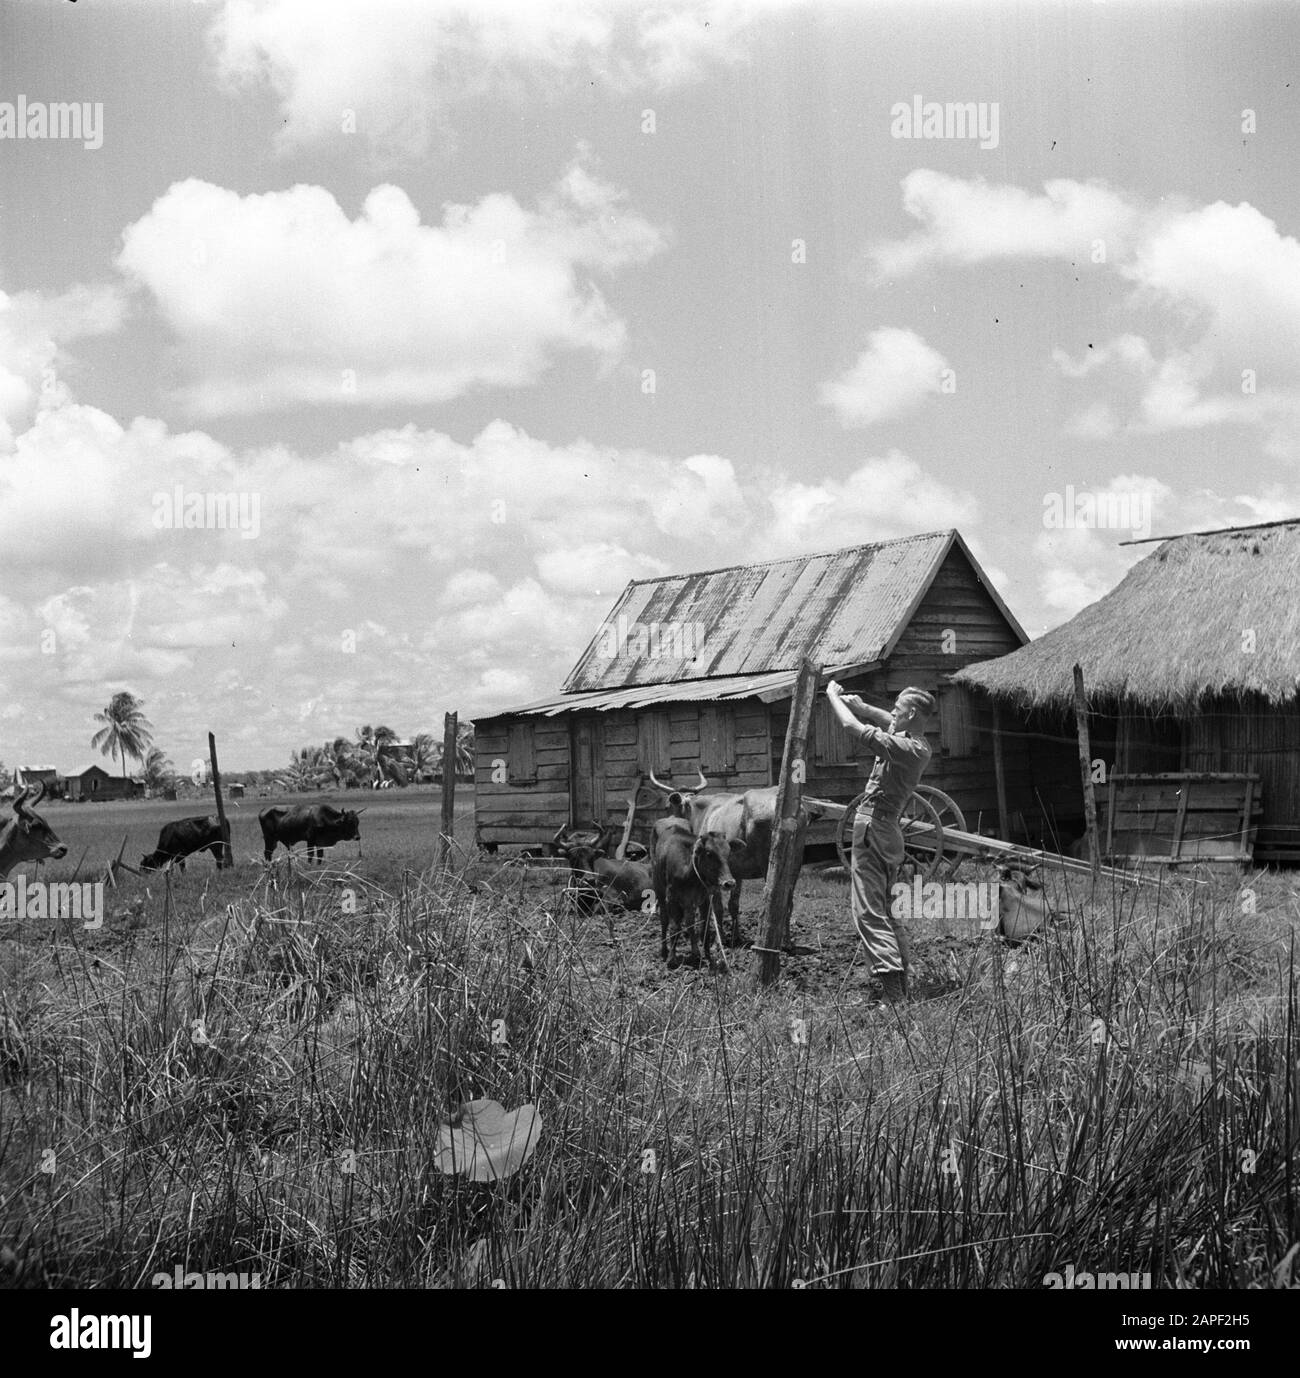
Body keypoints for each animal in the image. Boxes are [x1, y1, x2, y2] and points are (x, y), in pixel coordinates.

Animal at [647, 815, 733, 970]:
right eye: (709, 853)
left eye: (728, 852)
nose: (729, 883)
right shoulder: (671, 898)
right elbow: (674, 928)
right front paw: (671, 959)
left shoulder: (705, 899)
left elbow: (703, 927)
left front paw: (707, 956)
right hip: (660, 891)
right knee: (665, 920)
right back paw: (664, 950)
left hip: (688, 902)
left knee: (689, 921)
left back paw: (695, 953)